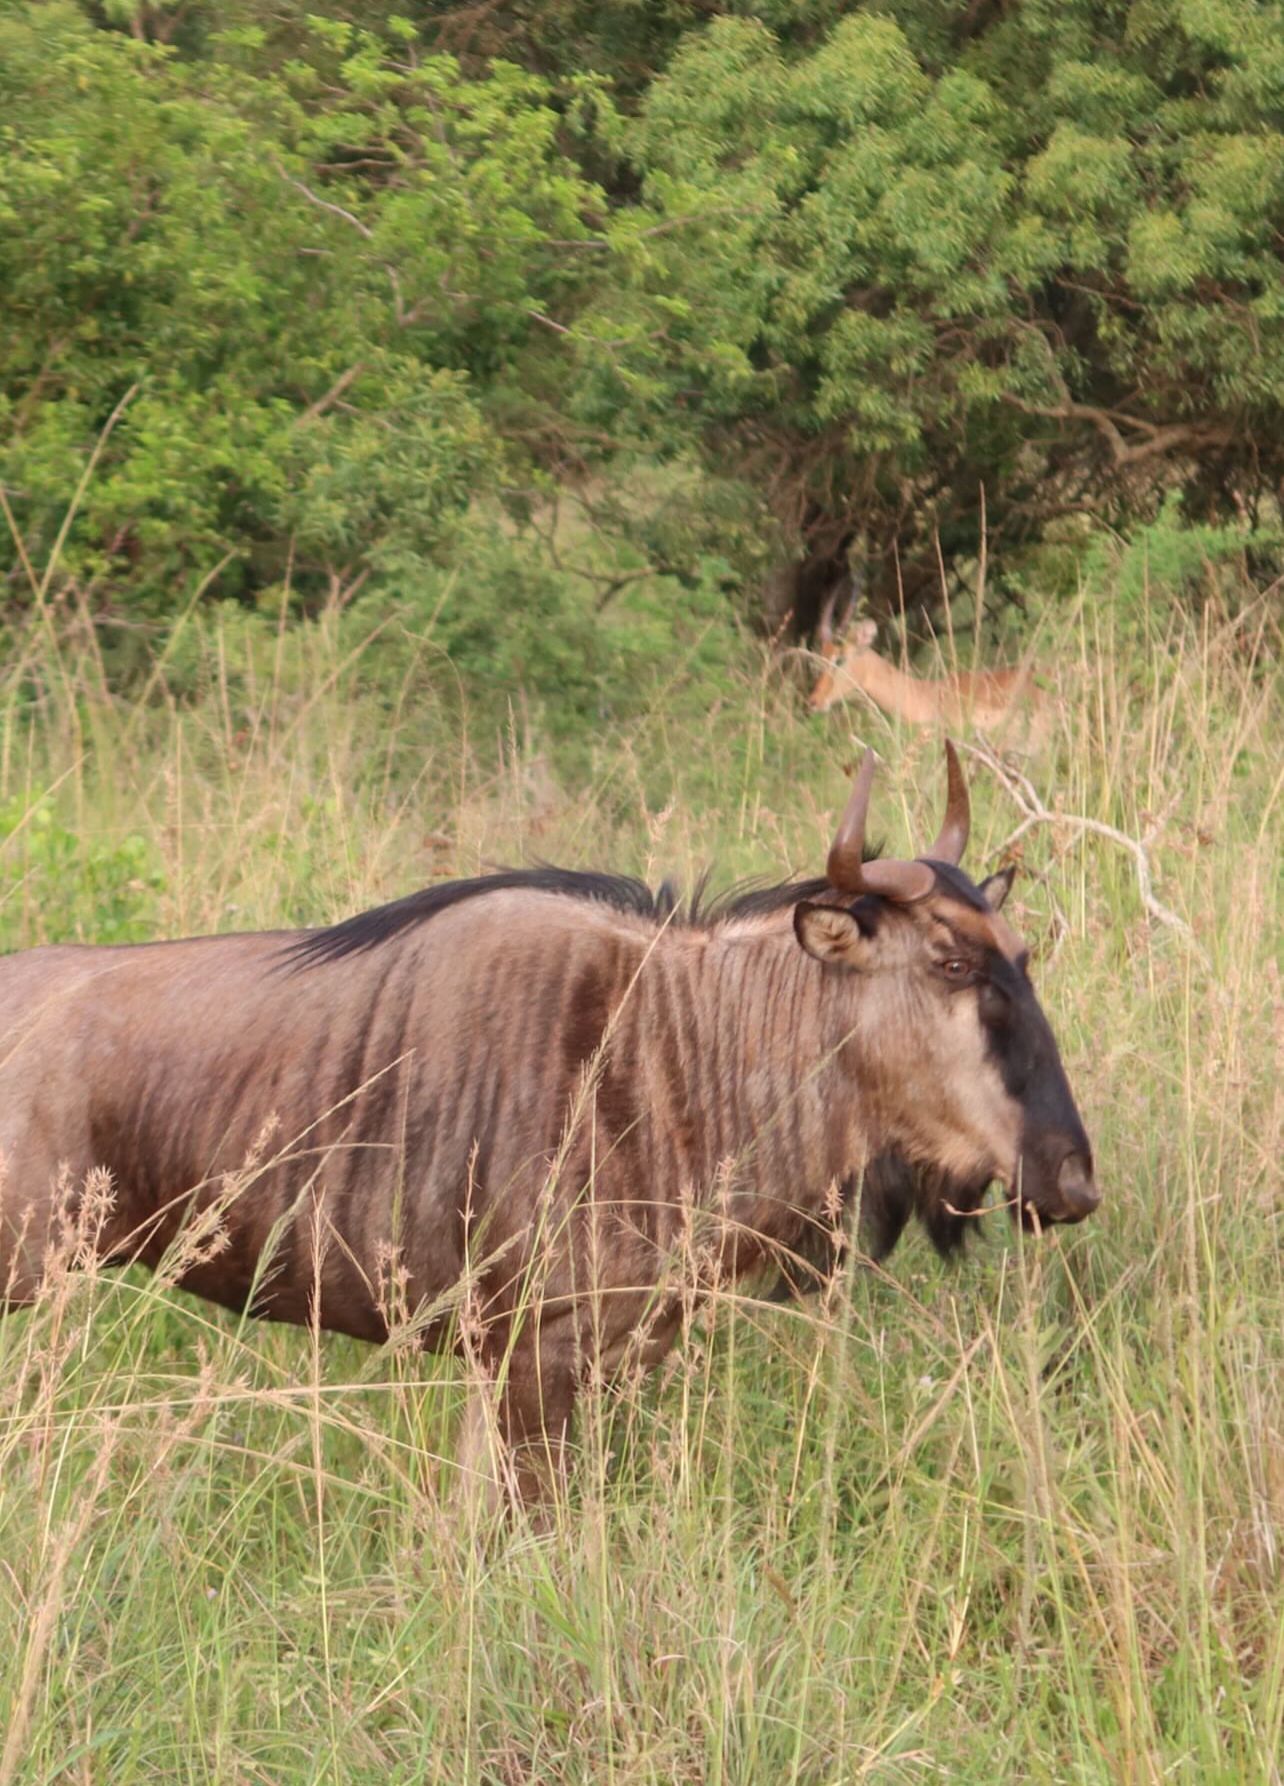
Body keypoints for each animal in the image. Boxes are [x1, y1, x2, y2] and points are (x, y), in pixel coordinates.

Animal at [0, 745, 1097, 1502]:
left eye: (1024, 957)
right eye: (951, 965)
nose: (1071, 1182)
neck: (672, 1052)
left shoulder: (595, 1359)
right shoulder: (534, 1360)